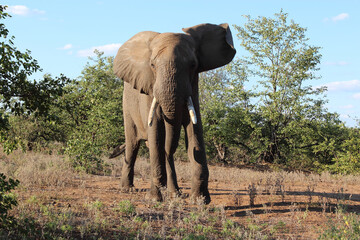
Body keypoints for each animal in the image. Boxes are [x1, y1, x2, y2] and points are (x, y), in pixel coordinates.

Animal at [113, 22, 236, 203]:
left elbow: (195, 130)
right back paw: (127, 190)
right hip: (127, 106)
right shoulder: (149, 90)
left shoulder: (193, 88)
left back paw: (174, 194)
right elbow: (156, 131)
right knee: (133, 144)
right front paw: (154, 199)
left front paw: (200, 201)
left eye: (193, 65)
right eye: (152, 66)